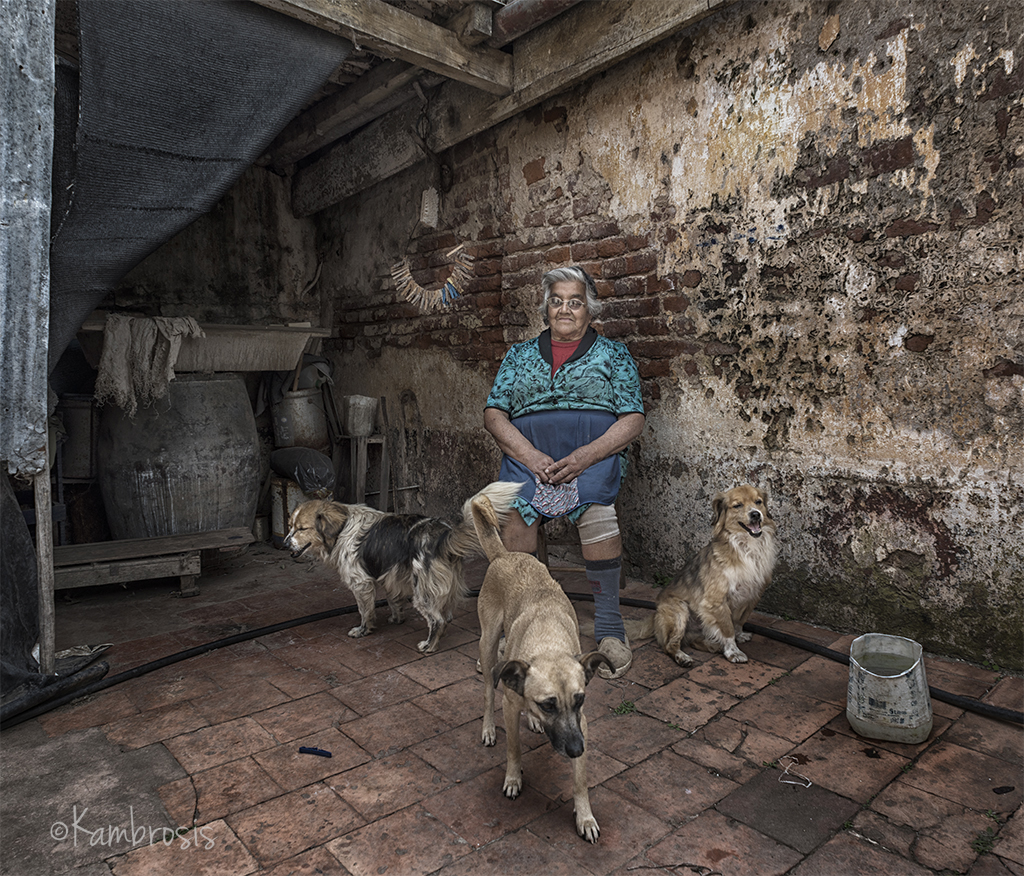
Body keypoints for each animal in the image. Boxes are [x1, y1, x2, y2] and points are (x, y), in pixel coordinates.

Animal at [286, 483, 520, 655]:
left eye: (302, 529)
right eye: (290, 526)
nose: (285, 544)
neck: (341, 528)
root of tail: (443, 534)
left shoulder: (360, 582)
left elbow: (365, 611)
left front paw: (363, 630)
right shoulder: (392, 576)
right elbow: (393, 600)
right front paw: (396, 619)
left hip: (422, 592)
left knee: (437, 620)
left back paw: (429, 646)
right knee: (446, 614)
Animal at [626, 485, 778, 663]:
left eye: (758, 502)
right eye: (738, 505)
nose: (755, 514)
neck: (746, 547)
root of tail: (655, 614)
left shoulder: (752, 595)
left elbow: (739, 621)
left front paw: (739, 636)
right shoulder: (715, 601)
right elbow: (727, 628)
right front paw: (733, 651)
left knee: (694, 641)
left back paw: (714, 646)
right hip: (680, 611)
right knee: (669, 645)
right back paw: (682, 657)